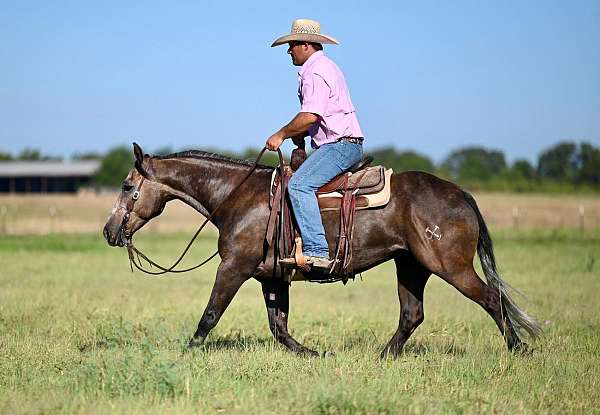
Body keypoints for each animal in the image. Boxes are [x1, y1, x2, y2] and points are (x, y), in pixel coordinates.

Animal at [102, 144, 540, 358]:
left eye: (127, 186)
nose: (108, 231)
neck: (237, 196)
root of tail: (460, 193)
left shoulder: (234, 267)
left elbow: (210, 314)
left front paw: (187, 354)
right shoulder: (271, 276)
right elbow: (279, 326)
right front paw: (314, 354)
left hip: (450, 265)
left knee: (492, 298)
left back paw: (518, 351)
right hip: (412, 265)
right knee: (412, 314)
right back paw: (384, 356)